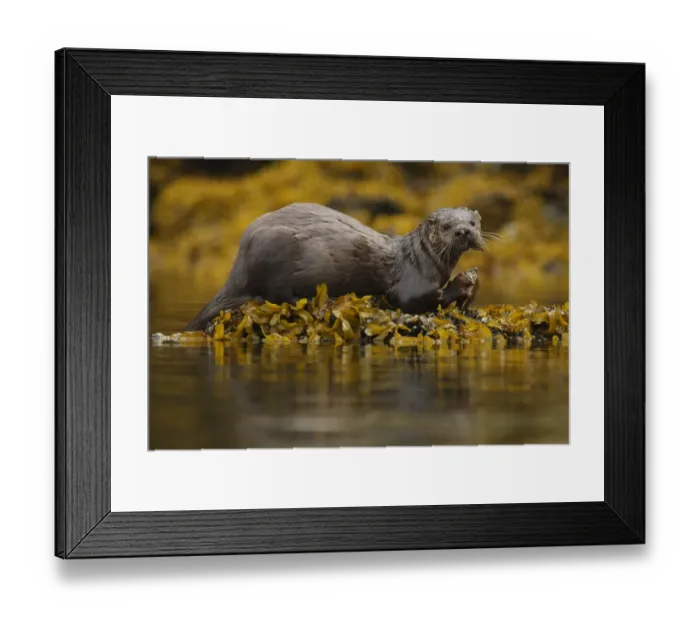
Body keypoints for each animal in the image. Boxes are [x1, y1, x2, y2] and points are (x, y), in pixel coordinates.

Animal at [185, 203, 485, 331]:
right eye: (447, 226)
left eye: (472, 223)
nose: (463, 231)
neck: (425, 258)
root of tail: (240, 262)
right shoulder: (410, 285)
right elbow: (415, 299)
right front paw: (464, 282)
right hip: (274, 251)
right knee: (277, 296)